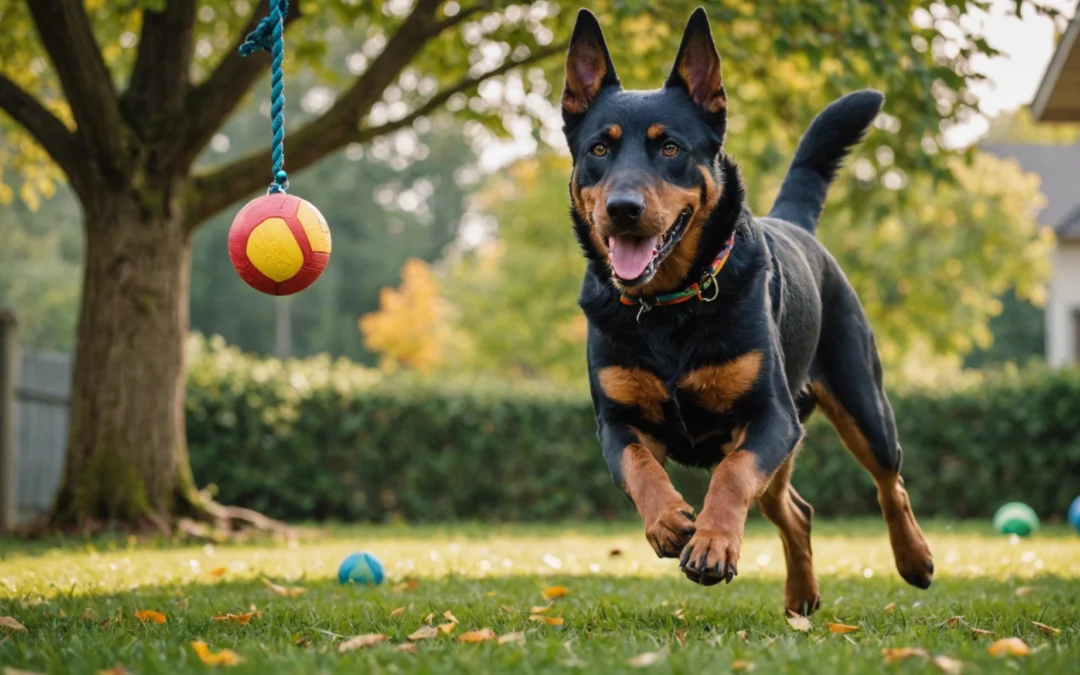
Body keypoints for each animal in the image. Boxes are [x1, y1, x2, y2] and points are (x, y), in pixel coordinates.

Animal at [561, 6, 933, 617]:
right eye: (598, 149)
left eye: (670, 148)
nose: (623, 208)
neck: (670, 307)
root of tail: (797, 224)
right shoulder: (616, 421)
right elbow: (639, 466)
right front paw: (668, 521)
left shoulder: (769, 416)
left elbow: (732, 476)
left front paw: (712, 543)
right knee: (797, 513)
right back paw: (801, 597)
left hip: (862, 406)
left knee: (890, 484)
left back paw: (914, 558)